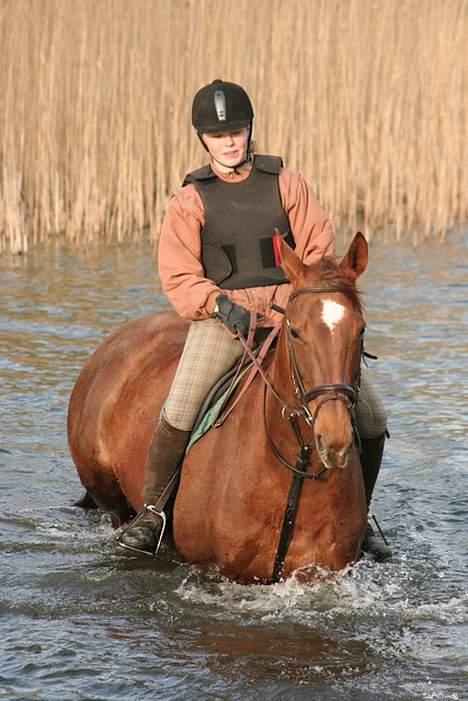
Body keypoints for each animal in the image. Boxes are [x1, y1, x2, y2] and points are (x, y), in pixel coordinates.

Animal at [68, 232, 370, 584]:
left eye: (360, 329)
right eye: (295, 331)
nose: (334, 438)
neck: (296, 460)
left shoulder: (321, 573)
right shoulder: (219, 573)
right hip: (110, 496)